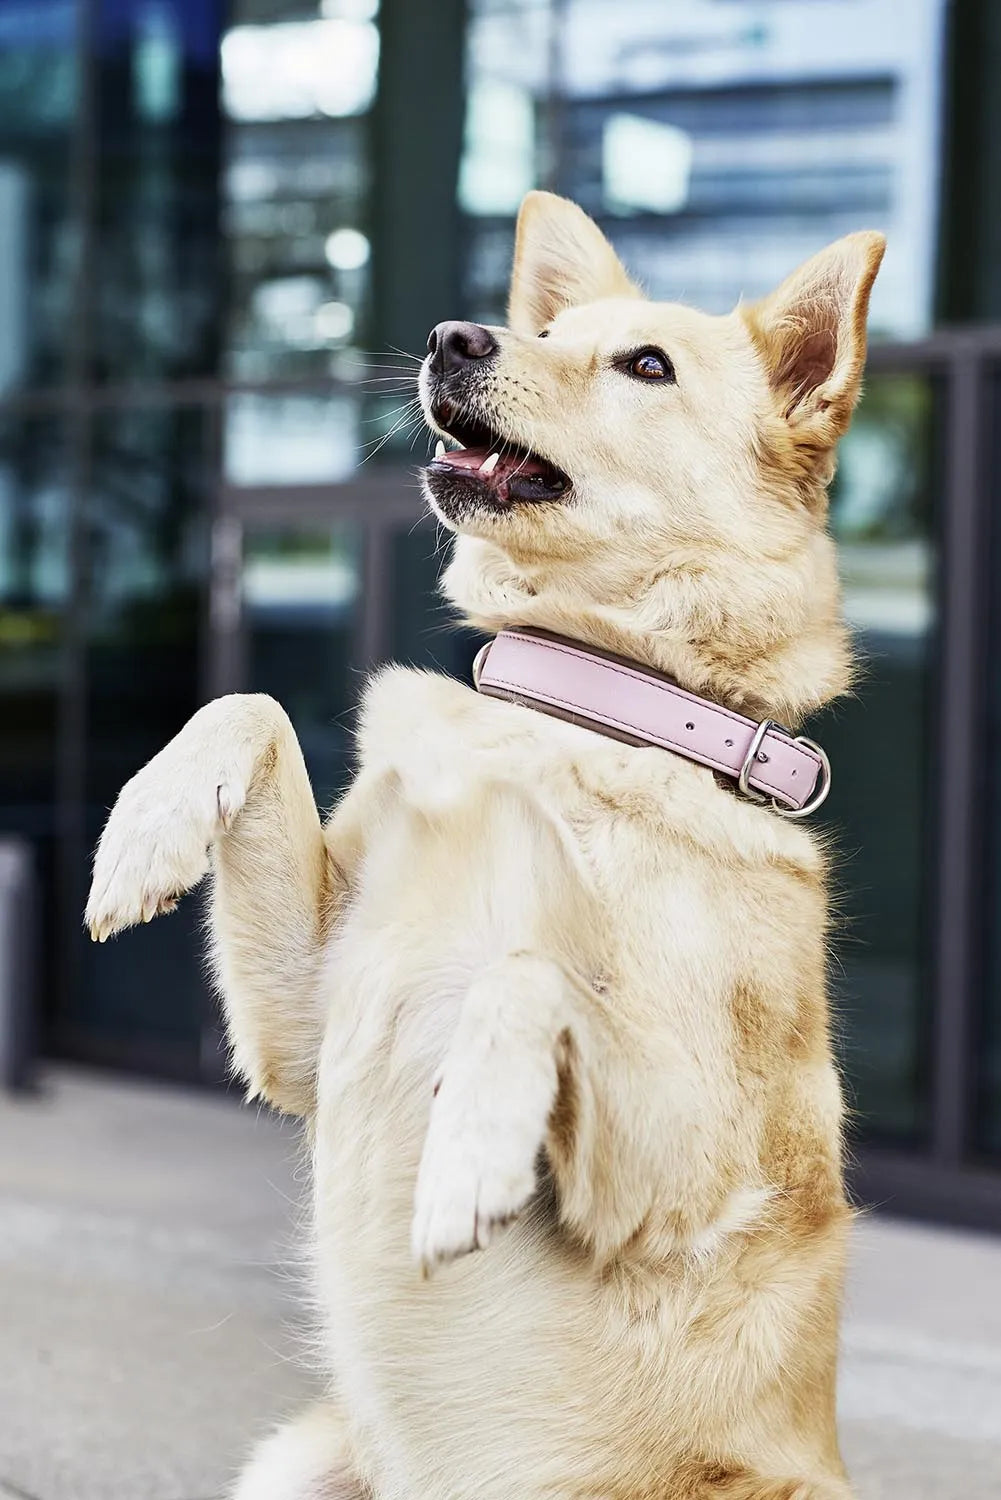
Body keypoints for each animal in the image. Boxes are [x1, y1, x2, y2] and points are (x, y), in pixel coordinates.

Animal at [86, 190, 882, 1500]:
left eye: (645, 365)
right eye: (547, 330)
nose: (450, 338)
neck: (583, 713)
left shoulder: (688, 1169)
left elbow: (527, 973)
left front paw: (467, 1149)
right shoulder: (305, 1033)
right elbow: (251, 705)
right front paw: (145, 831)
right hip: (297, 1460)